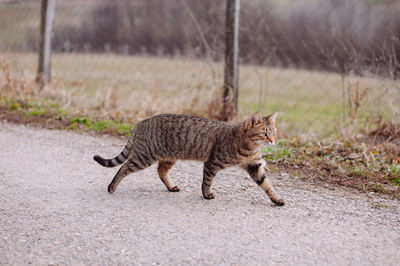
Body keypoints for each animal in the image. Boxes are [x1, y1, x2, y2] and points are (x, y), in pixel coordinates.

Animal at [94, 111, 284, 206]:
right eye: (264, 133)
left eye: (274, 132)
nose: (273, 140)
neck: (249, 148)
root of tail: (142, 122)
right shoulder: (212, 163)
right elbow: (206, 182)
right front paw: (206, 195)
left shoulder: (255, 166)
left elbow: (267, 185)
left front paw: (276, 199)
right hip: (145, 156)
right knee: (124, 167)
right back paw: (112, 186)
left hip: (168, 157)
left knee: (161, 172)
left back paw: (171, 187)